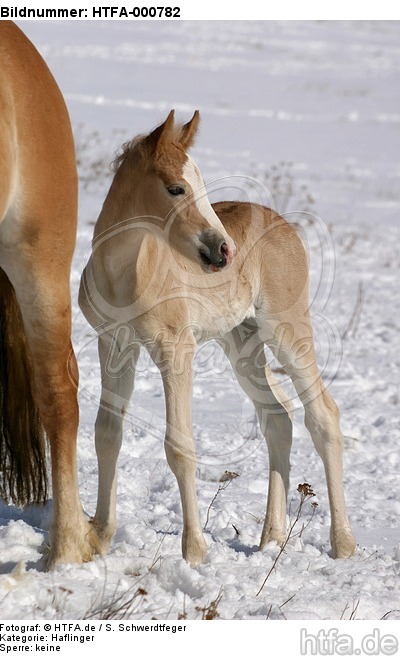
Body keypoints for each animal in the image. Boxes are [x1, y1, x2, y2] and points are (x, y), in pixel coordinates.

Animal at [79, 109, 356, 566]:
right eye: (176, 187)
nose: (223, 252)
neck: (124, 271)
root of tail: (283, 223)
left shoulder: (176, 350)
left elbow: (180, 446)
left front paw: (194, 550)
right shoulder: (114, 345)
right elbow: (107, 434)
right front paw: (99, 536)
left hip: (286, 329)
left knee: (323, 415)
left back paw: (343, 543)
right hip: (241, 344)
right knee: (277, 417)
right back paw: (270, 538)